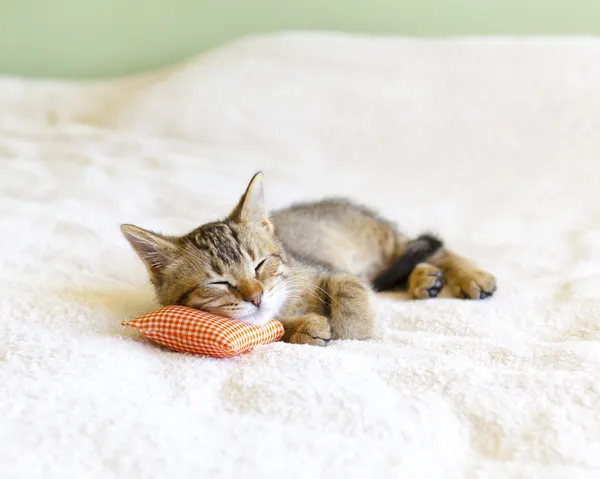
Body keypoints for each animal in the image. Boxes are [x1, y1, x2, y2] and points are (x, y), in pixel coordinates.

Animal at [119, 172, 494, 344]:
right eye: (219, 282)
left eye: (260, 264)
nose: (256, 296)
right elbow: (270, 327)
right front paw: (304, 327)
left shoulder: (324, 269)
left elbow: (349, 287)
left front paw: (354, 327)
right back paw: (423, 280)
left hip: (383, 240)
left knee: (432, 249)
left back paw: (469, 276)